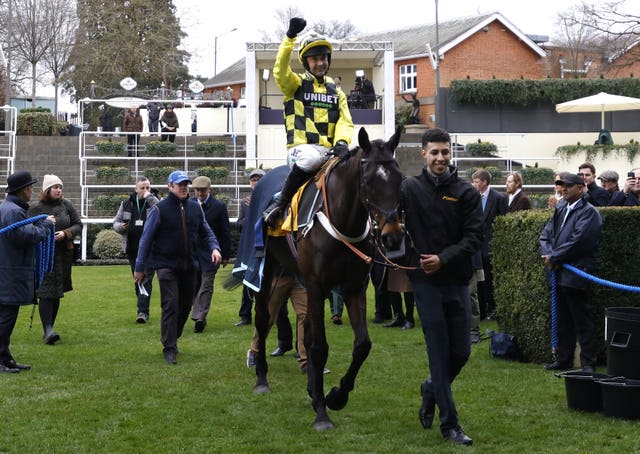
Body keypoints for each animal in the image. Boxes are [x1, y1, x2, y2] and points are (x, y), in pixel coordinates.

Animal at [250, 126, 404, 430]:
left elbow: (362, 345)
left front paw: (335, 396)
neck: (343, 222)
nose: (392, 235)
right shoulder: (317, 286)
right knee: (262, 319)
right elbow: (319, 346)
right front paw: (322, 413)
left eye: (399, 178)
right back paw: (262, 379)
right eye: (368, 180)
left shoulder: (353, 287)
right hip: (266, 266)